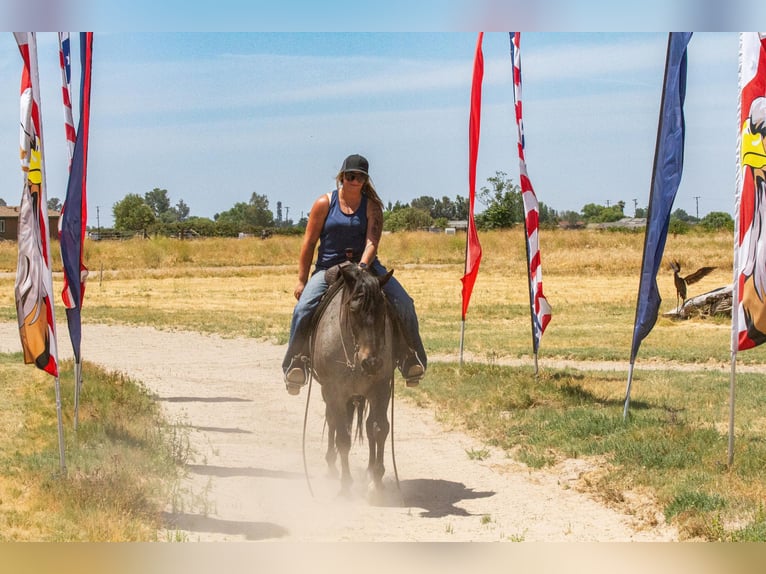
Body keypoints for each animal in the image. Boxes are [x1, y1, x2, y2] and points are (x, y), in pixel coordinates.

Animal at [309, 263, 395, 496]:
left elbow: (378, 429)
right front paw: (346, 485)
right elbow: (343, 437)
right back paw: (332, 466)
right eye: (353, 309)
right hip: (331, 393)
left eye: (384, 310)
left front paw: (376, 481)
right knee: (333, 421)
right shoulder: (334, 391)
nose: (371, 362)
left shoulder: (381, 388)